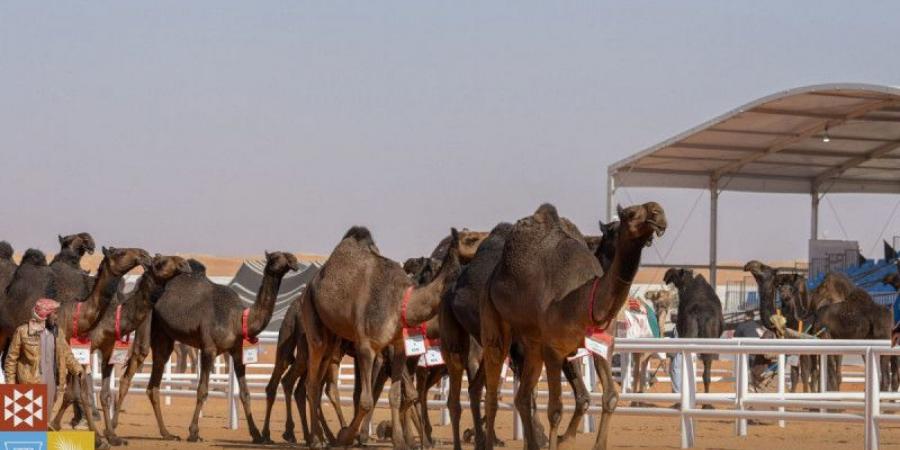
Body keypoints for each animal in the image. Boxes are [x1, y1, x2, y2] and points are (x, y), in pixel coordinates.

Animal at [52, 255, 192, 444]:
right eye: (159, 263)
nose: (185, 264)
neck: (112, 318)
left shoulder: (107, 351)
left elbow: (102, 393)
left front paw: (112, 436)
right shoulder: (86, 349)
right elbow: (83, 392)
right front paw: (98, 437)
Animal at [143, 251, 298, 442]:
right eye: (276, 257)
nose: (294, 261)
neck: (239, 319)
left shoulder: (237, 353)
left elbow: (245, 394)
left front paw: (256, 434)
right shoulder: (209, 349)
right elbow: (202, 390)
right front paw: (193, 432)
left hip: (165, 337)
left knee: (153, 384)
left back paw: (166, 433)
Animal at [300, 227, 460, 448]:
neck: (401, 303)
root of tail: (309, 287)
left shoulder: (399, 347)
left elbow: (397, 395)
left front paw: (401, 441)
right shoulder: (366, 347)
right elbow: (366, 400)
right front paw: (348, 437)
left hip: (332, 340)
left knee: (321, 381)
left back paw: (324, 437)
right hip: (312, 318)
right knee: (312, 381)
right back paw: (317, 440)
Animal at [482, 204, 664, 450]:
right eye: (631, 213)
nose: (658, 214)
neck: (583, 299)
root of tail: (495, 275)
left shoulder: (602, 346)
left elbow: (608, 397)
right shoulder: (554, 351)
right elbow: (555, 409)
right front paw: (559, 439)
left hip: (532, 345)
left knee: (521, 397)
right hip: (494, 323)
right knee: (492, 393)